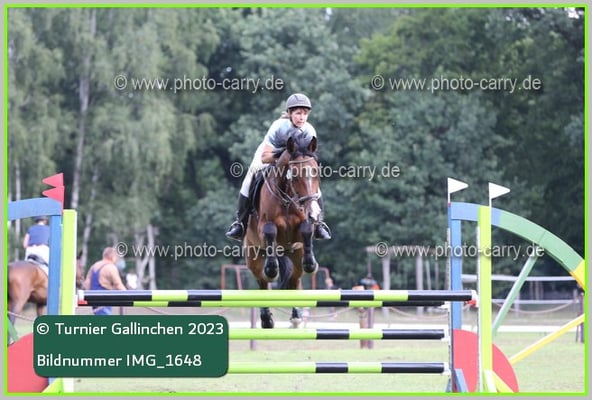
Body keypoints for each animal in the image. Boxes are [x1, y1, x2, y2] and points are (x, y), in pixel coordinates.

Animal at [244, 132, 321, 328]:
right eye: (295, 175)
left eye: (316, 173)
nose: (315, 213)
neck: (286, 198)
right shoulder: (264, 226)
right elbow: (270, 231)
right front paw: (272, 269)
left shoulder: (301, 228)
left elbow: (306, 229)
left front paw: (311, 264)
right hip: (253, 254)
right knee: (262, 282)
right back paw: (266, 319)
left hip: (295, 254)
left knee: (295, 280)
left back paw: (296, 316)